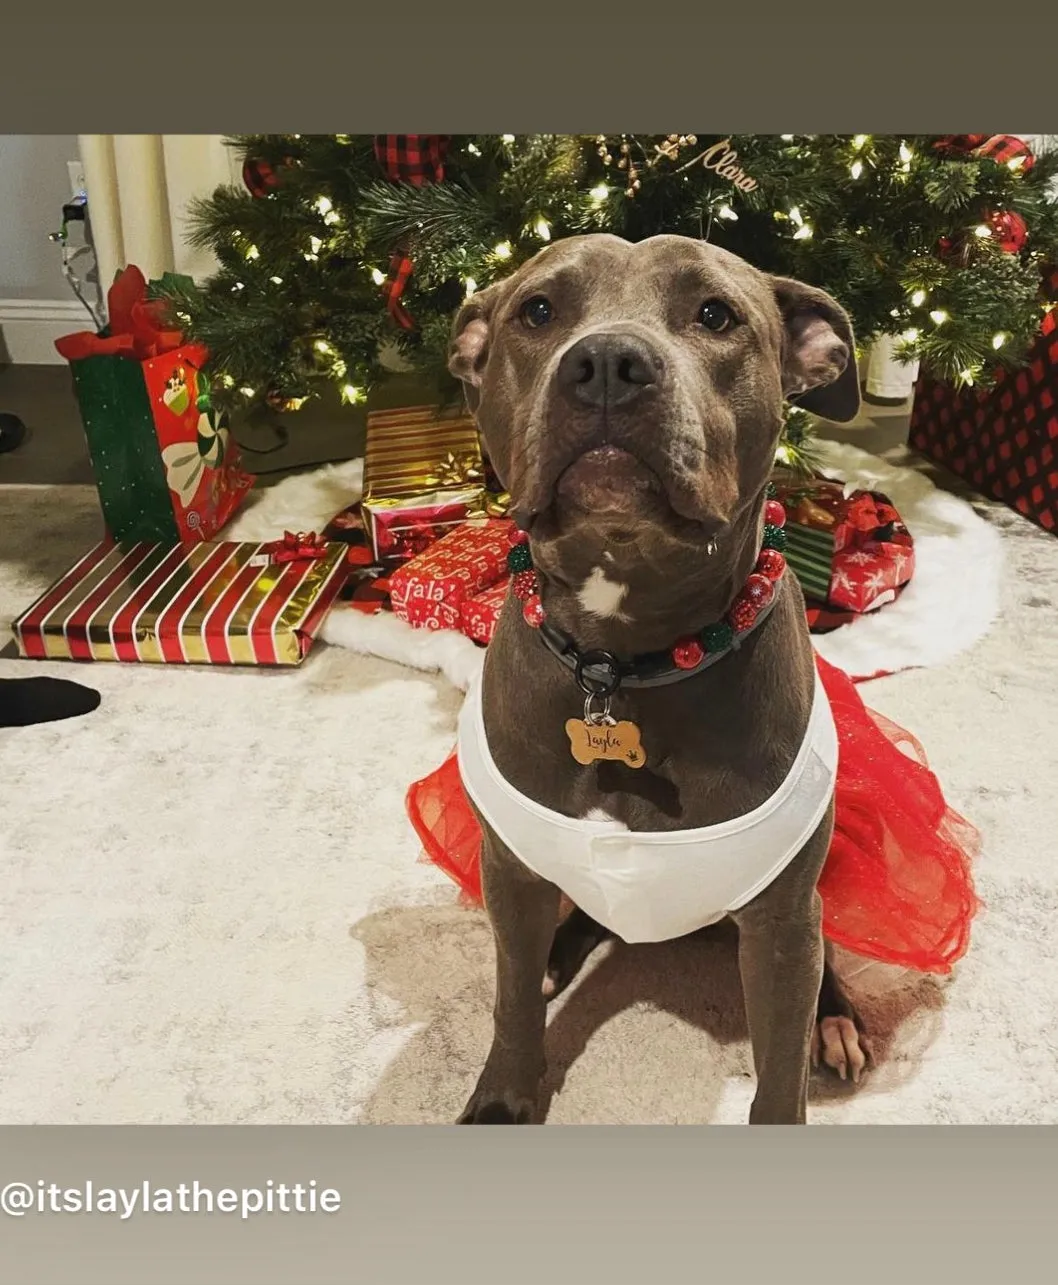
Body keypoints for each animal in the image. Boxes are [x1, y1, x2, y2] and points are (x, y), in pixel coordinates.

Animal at [447, 233, 869, 1125]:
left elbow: (779, 1072)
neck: (620, 663)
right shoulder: (508, 873)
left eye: (716, 314)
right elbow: (508, 1002)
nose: (607, 362)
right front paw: (503, 1096)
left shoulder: (781, 922)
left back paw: (839, 1017)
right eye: (538, 310)